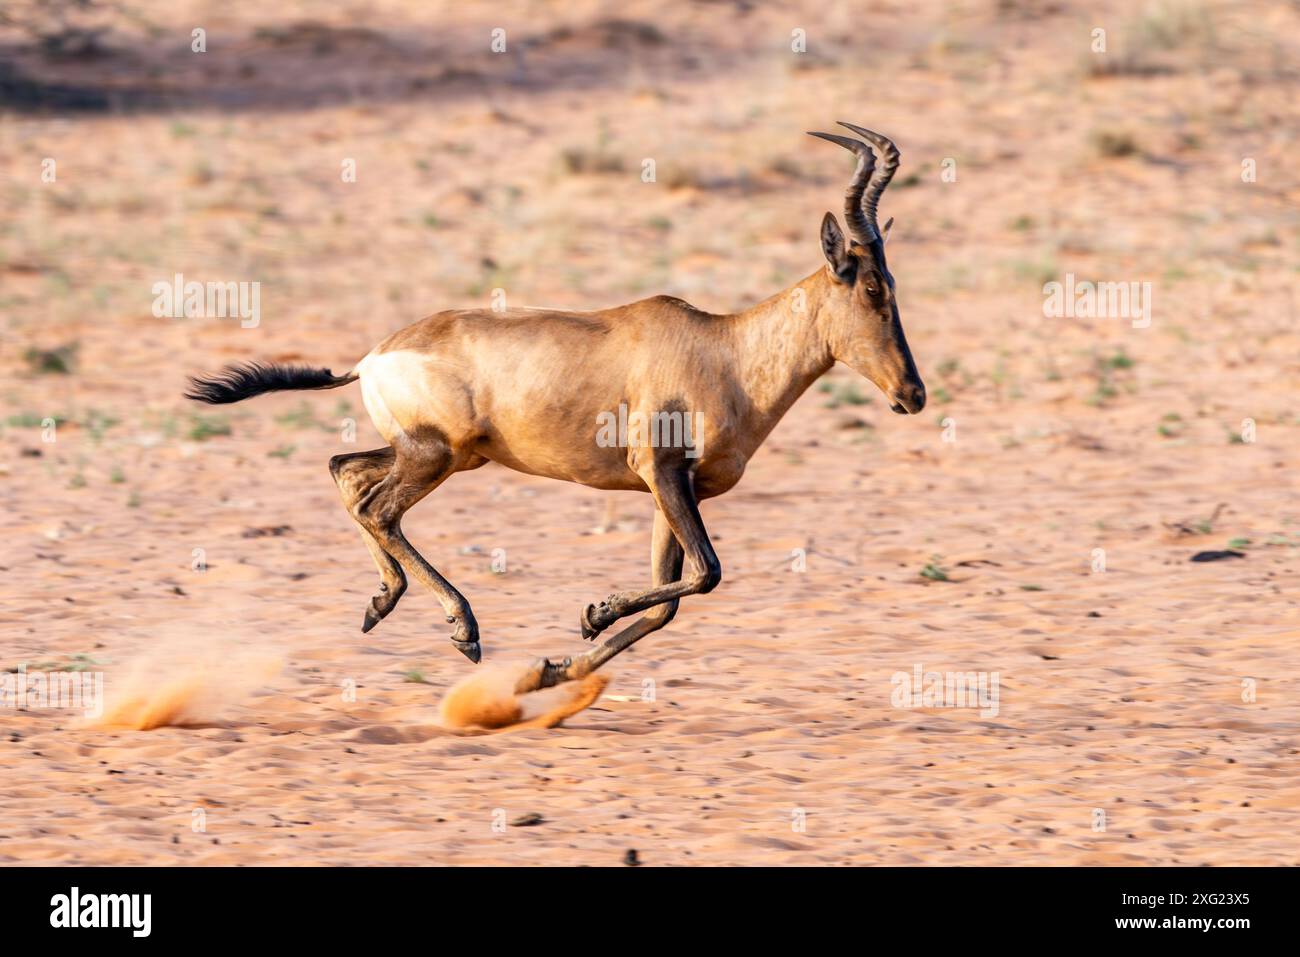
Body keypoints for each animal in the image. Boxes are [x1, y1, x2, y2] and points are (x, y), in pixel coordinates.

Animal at [189, 123, 925, 691]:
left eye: (892, 282)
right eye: (869, 287)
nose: (912, 395)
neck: (723, 347)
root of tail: (372, 356)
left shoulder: (671, 490)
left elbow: (669, 601)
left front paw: (552, 668)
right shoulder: (663, 472)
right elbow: (706, 575)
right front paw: (592, 614)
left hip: (443, 456)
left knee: (347, 473)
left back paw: (382, 603)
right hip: (435, 455)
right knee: (378, 507)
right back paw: (463, 627)